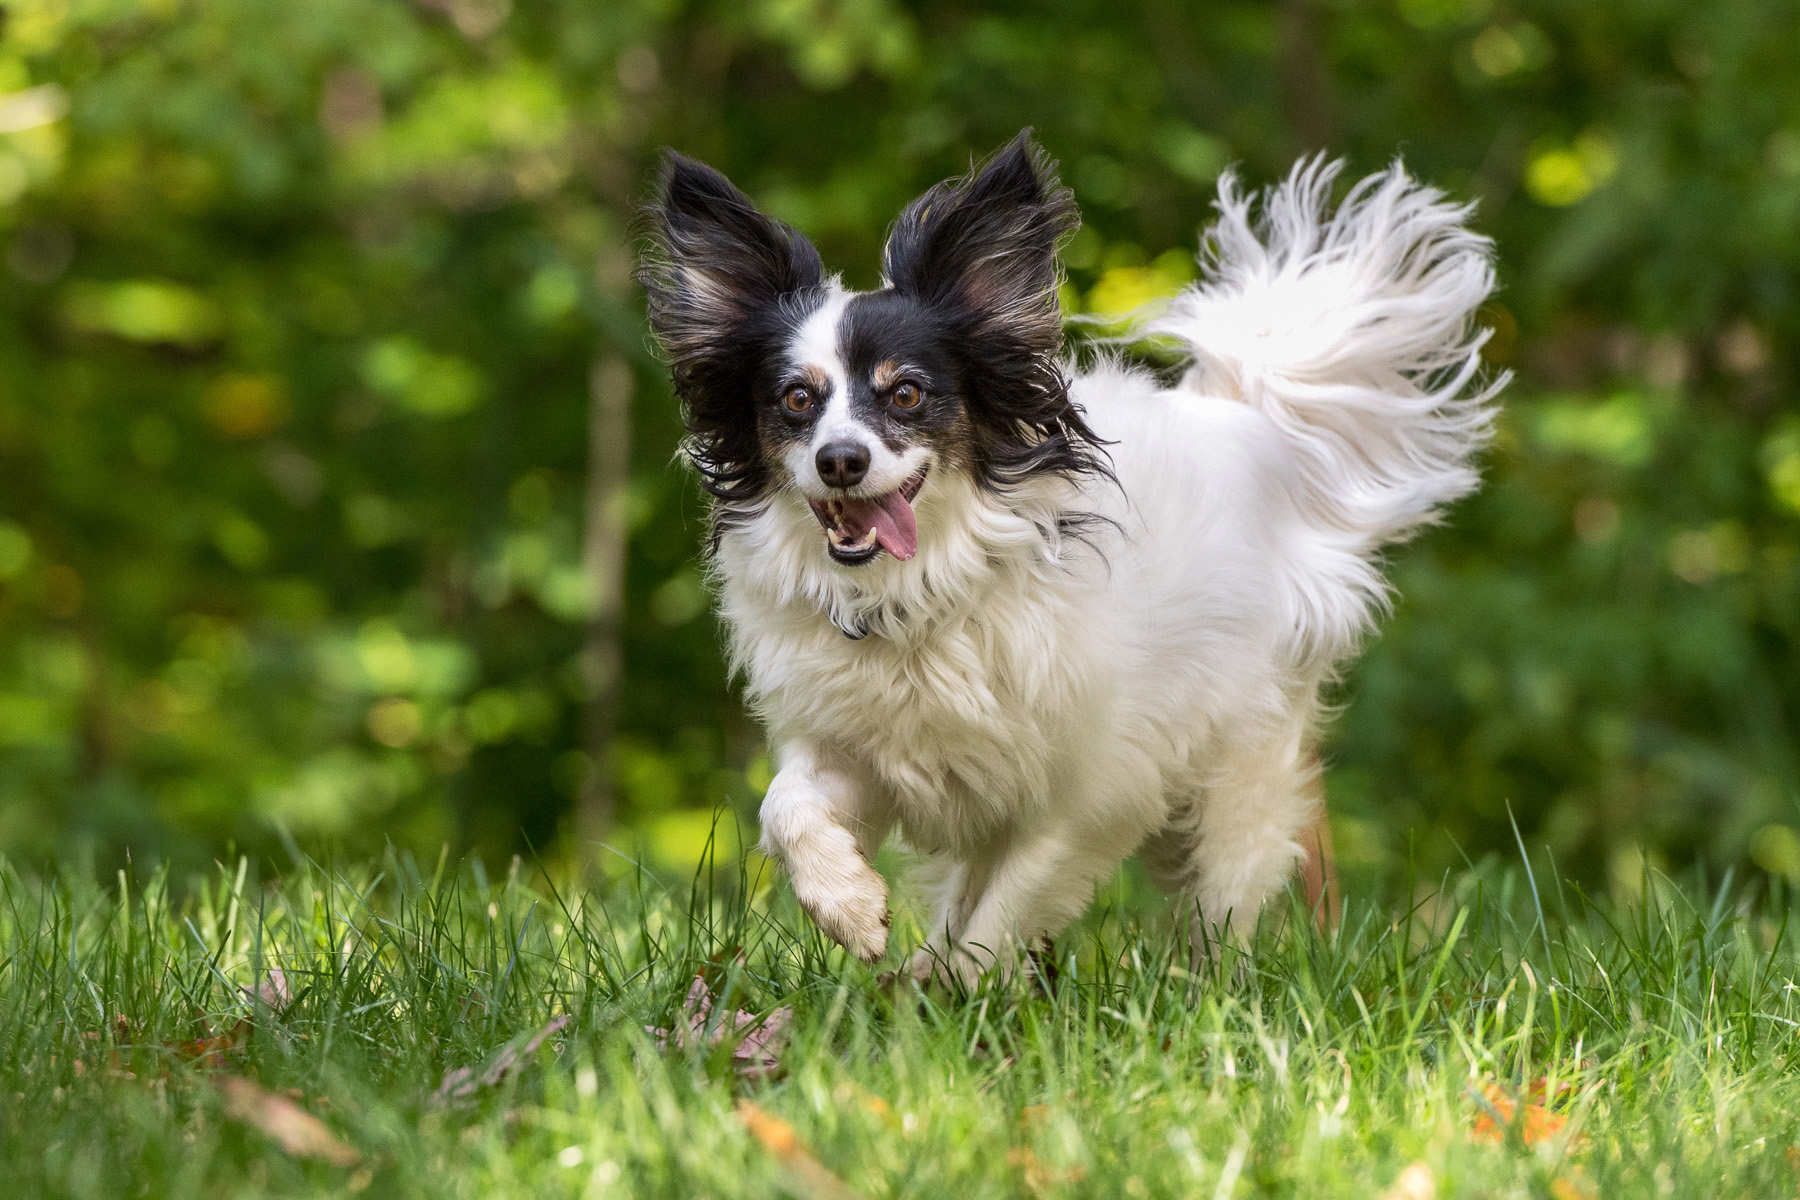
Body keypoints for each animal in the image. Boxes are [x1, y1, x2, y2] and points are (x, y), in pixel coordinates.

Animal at [640, 131, 1497, 985]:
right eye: (795, 401)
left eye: (907, 393)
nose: (840, 460)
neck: (918, 592)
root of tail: (1247, 422)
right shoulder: (863, 752)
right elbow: (786, 807)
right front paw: (849, 908)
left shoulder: (1083, 797)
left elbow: (1002, 915)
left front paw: (956, 995)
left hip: (1237, 773)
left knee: (1222, 896)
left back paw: (1202, 990)